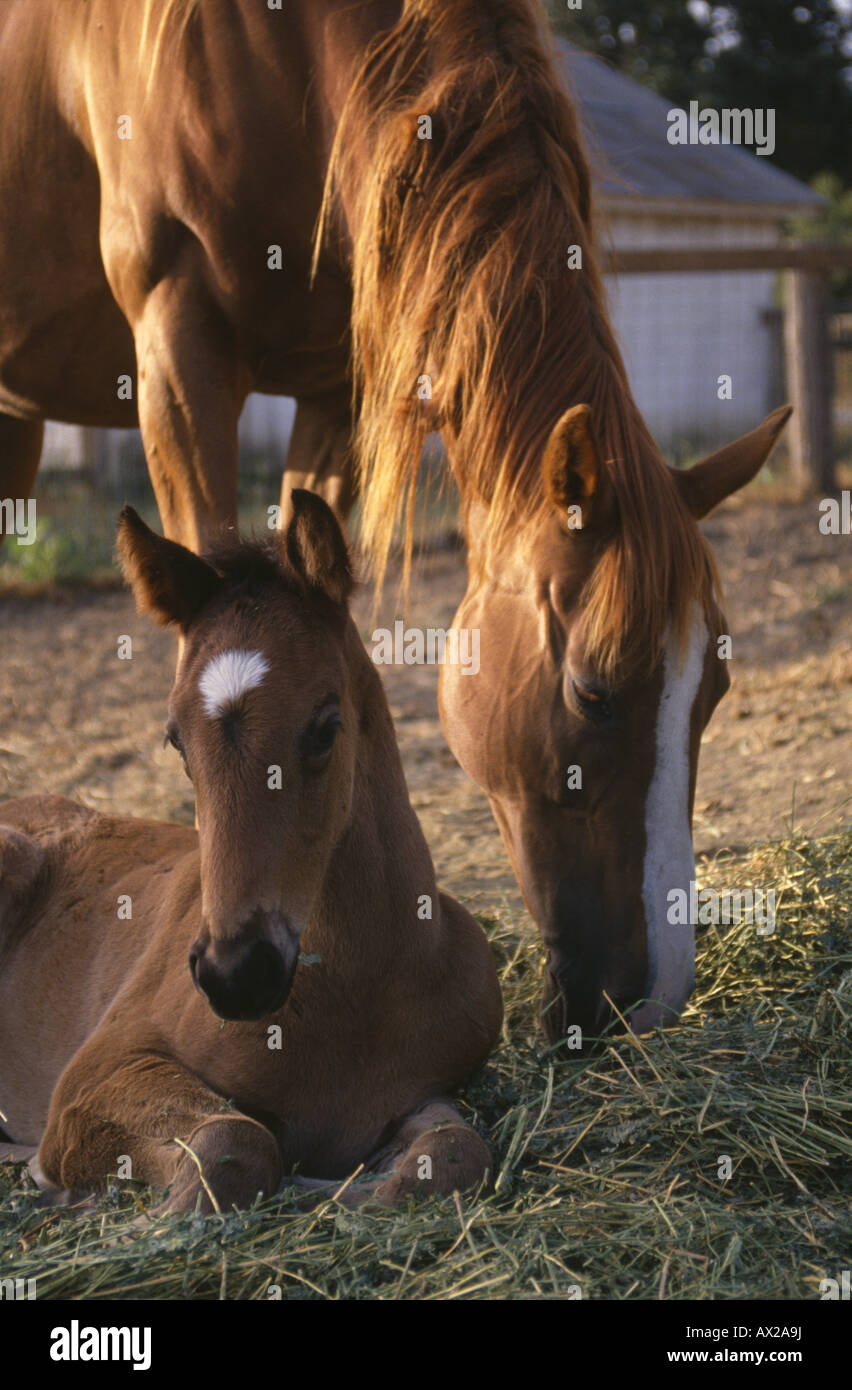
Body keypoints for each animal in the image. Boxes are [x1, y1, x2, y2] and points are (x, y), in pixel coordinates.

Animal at [0, 0, 791, 1041]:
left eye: (717, 689)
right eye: (593, 691)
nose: (650, 995)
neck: (277, 52)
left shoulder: (332, 379)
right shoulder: (177, 348)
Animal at [0, 493, 503, 1213]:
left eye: (326, 726)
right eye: (175, 738)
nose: (236, 974)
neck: (359, 987)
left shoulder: (424, 1092)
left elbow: (456, 1153)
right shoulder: (96, 1075)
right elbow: (231, 1144)